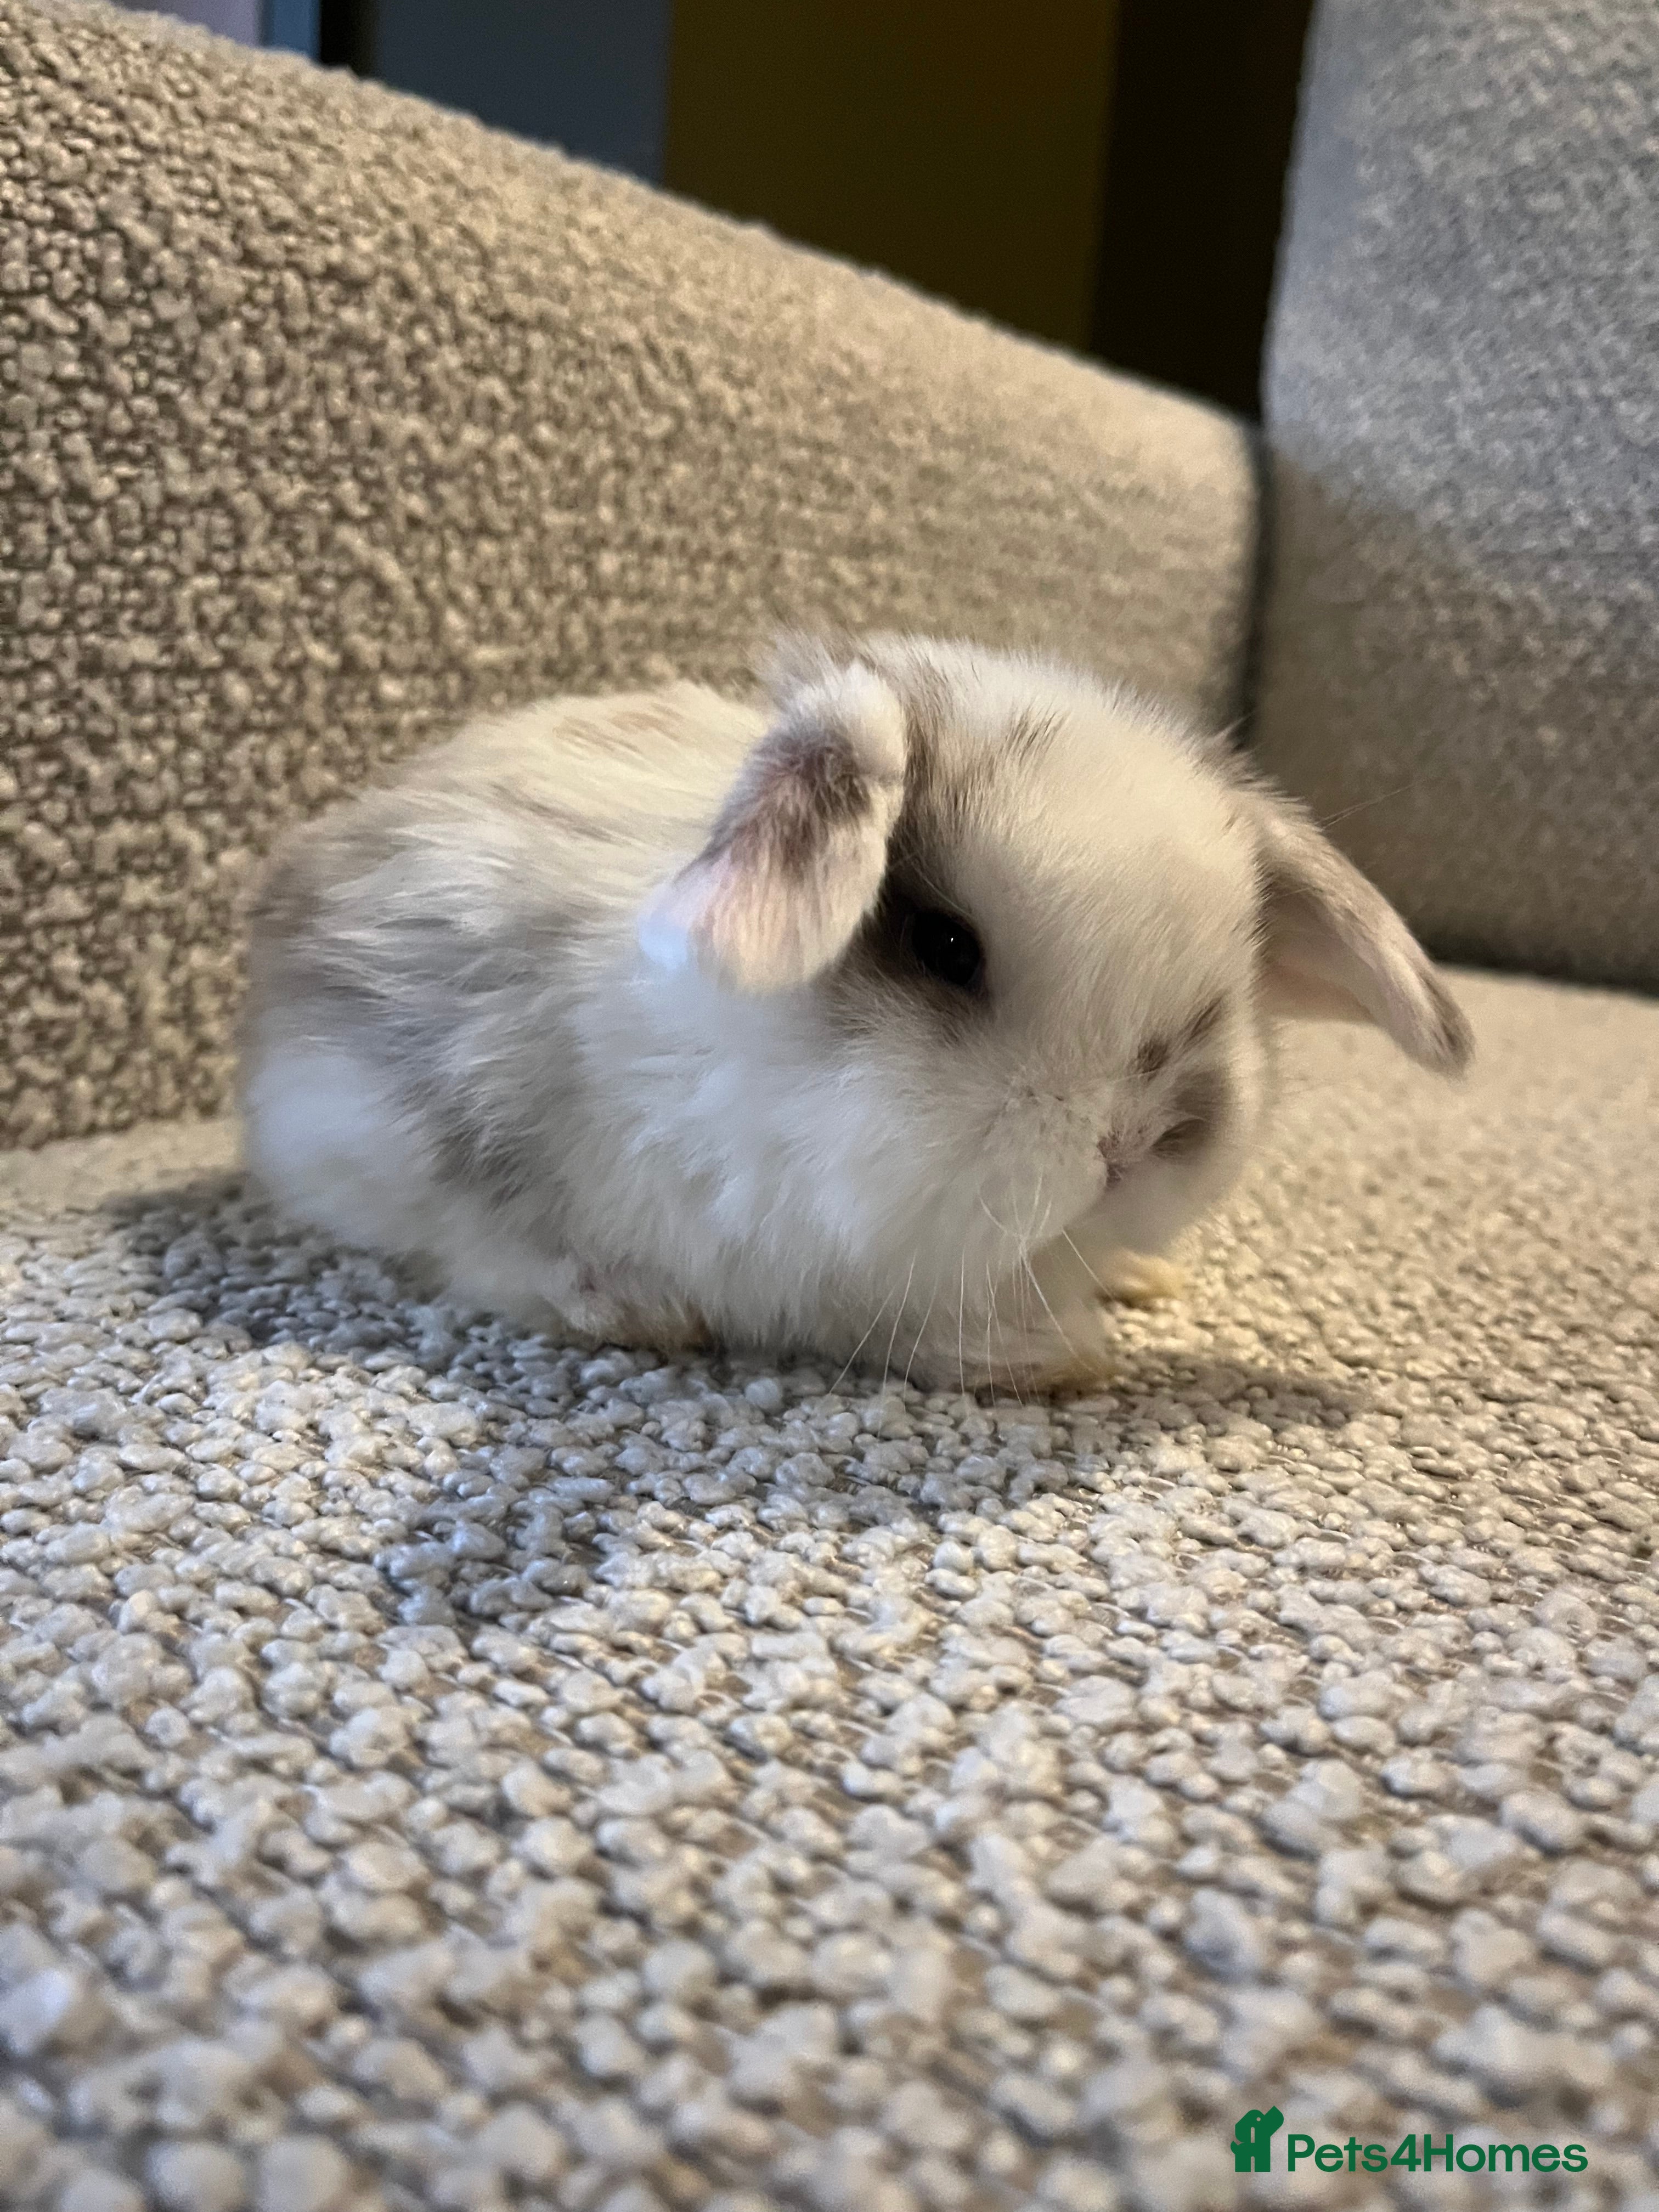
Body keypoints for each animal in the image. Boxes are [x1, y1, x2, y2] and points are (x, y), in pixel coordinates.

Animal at [240, 633, 1471, 1391]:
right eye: (945, 946)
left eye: (1226, 987)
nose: (1129, 1146)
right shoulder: (799, 1261)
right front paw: (1056, 1356)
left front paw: (1132, 1280)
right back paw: (629, 1304)